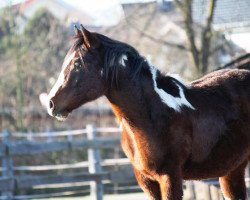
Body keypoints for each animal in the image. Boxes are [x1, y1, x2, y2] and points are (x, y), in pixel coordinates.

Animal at [46, 25, 250, 200]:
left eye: (77, 63)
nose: (51, 103)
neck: (149, 116)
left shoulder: (170, 177)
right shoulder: (146, 181)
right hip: (233, 169)